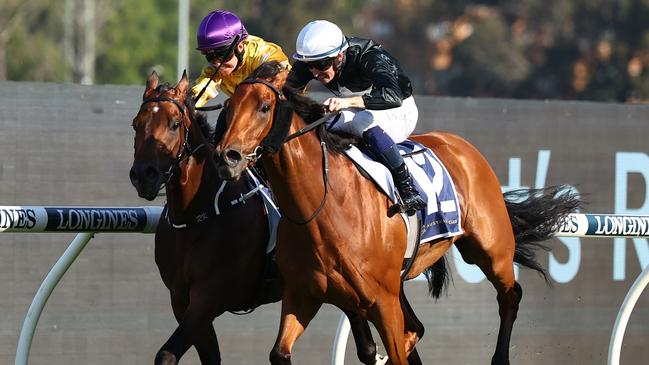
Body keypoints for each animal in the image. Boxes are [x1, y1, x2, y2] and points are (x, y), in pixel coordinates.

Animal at [129, 72, 388, 364]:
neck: (195, 217)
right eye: (136, 124)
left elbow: (166, 354)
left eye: (174, 124)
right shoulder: (180, 299)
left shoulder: (209, 296)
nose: (144, 175)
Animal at [215, 61, 580, 362]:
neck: (322, 210)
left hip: (490, 249)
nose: (226, 157)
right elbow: (280, 353)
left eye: (264, 107)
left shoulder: (382, 299)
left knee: (510, 296)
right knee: (417, 328)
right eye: (228, 108)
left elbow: (396, 346)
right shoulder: (302, 295)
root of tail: (464, 148)